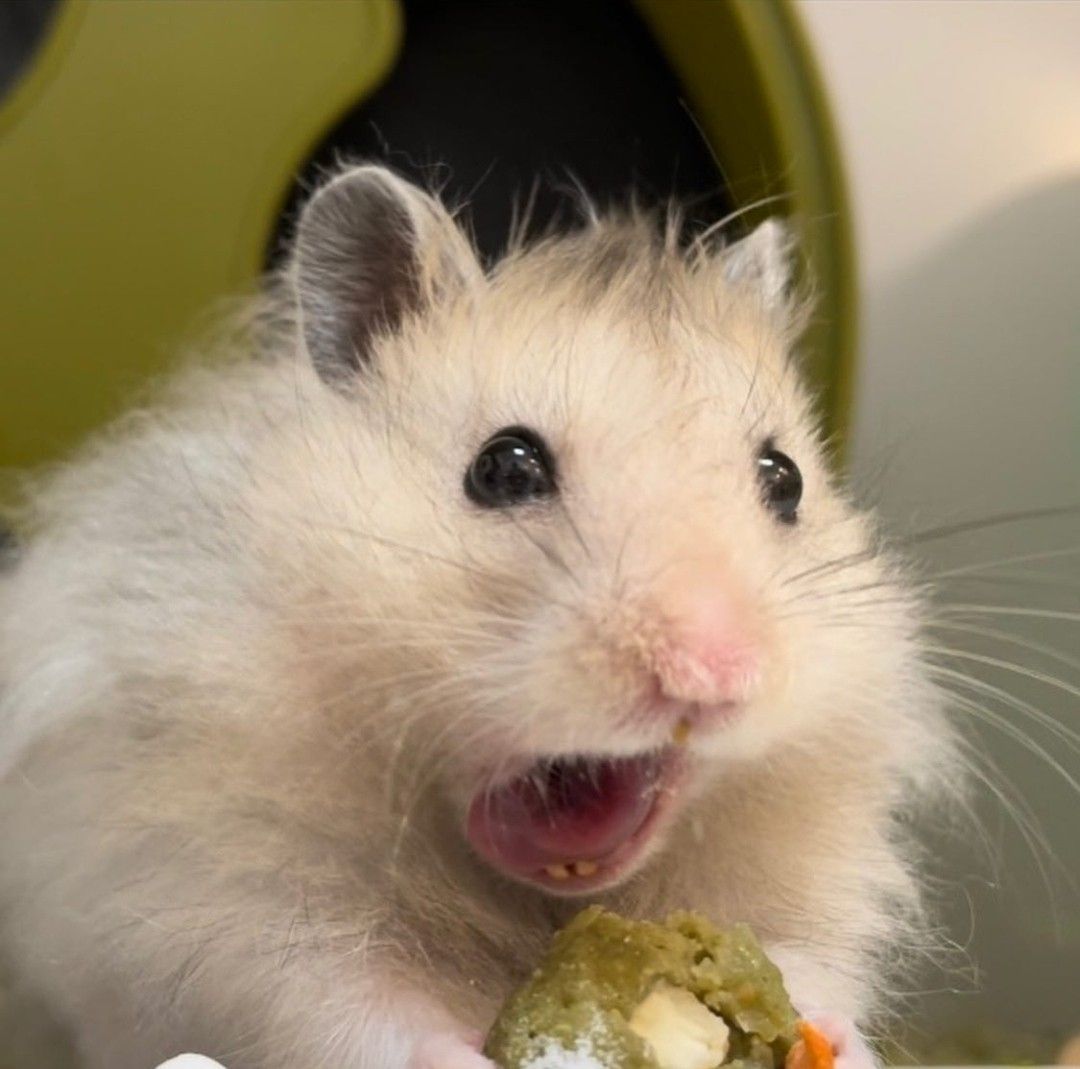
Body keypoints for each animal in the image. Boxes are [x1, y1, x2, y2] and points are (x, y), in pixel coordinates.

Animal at [0, 166, 950, 1069]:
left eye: (785, 479)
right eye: (504, 467)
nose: (712, 676)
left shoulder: (816, 871)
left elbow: (812, 965)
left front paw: (840, 1041)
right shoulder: (222, 888)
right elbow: (347, 1003)